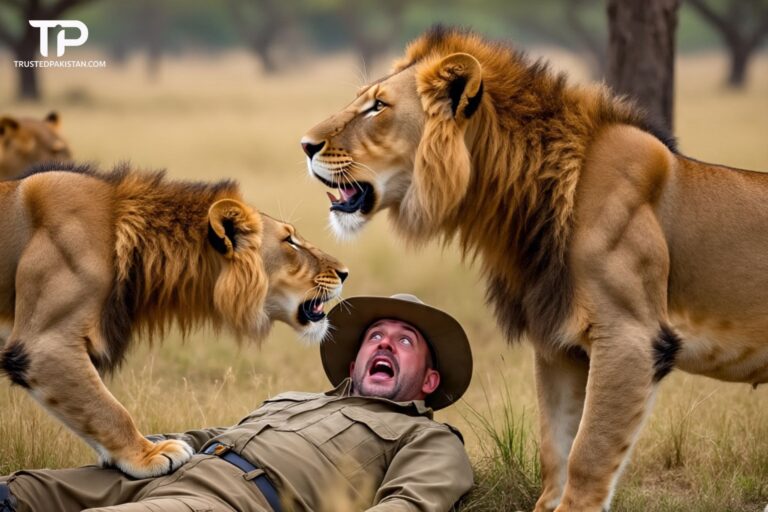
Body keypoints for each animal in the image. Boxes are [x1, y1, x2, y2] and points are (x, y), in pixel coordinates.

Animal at [302, 27, 768, 512]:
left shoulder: (632, 339)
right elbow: (555, 452)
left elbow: (587, 457)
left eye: (378, 106)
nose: (305, 145)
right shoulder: (558, 345)